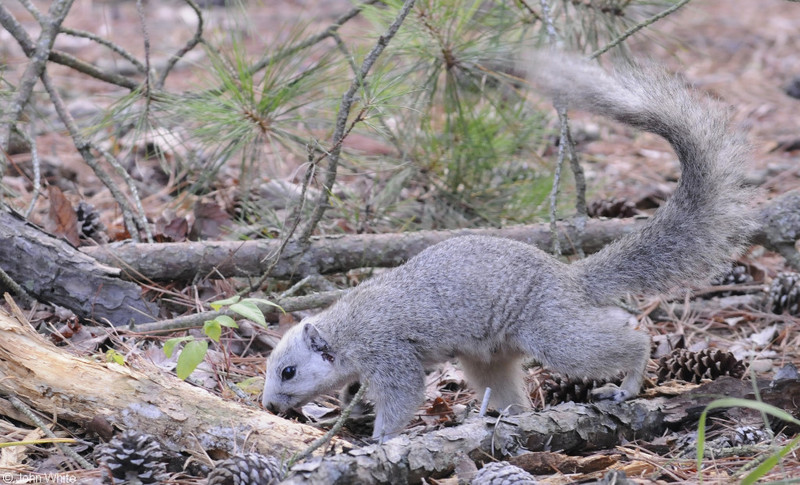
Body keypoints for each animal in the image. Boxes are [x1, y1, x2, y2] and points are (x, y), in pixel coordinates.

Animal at [260, 53, 756, 442]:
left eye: (289, 372)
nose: (267, 406)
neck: (347, 328)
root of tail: (569, 279)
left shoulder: (389, 352)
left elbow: (402, 397)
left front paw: (379, 439)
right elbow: (356, 391)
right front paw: (357, 410)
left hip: (555, 334)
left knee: (626, 341)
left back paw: (627, 383)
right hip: (490, 359)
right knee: (515, 396)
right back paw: (506, 419)